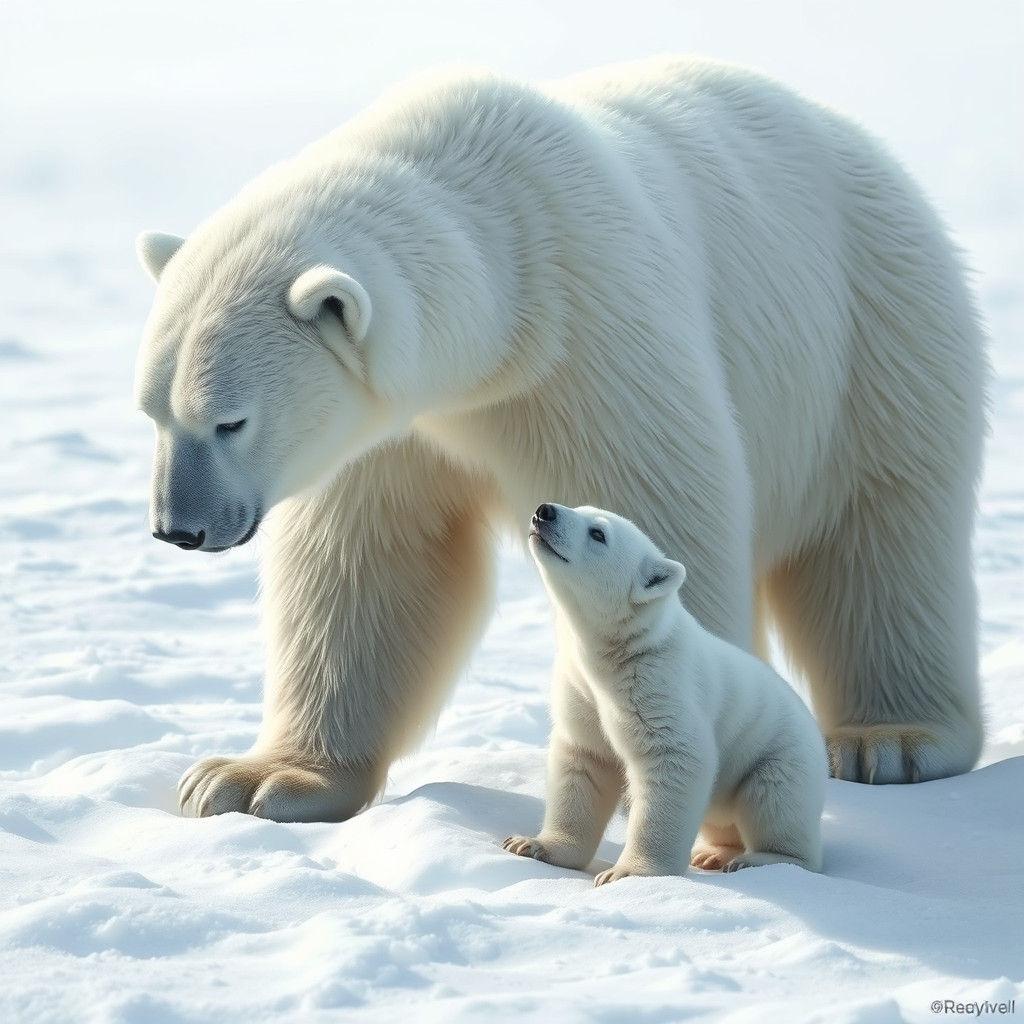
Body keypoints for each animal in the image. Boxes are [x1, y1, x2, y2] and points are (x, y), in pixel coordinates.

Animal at [134, 56, 988, 823]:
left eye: (231, 420)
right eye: (152, 411)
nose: (179, 529)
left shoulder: (587, 339)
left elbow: (654, 511)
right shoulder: (395, 427)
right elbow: (364, 566)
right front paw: (251, 780)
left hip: (872, 335)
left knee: (881, 537)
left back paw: (891, 740)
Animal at [504, 503, 826, 883]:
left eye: (598, 533)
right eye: (580, 508)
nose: (544, 511)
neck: (619, 654)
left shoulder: (658, 684)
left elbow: (674, 757)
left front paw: (627, 874)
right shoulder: (581, 689)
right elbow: (584, 761)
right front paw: (531, 844)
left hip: (780, 755)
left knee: (776, 801)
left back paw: (761, 859)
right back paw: (713, 854)